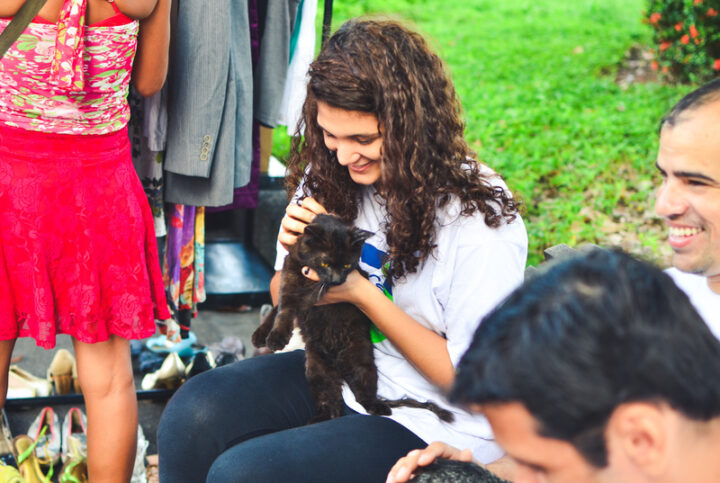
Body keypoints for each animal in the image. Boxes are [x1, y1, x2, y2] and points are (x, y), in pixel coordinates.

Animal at [253, 215, 452, 424]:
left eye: (347, 265)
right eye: (325, 264)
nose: (337, 280)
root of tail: (337, 365)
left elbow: (287, 307)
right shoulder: (290, 280)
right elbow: (280, 310)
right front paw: (267, 336)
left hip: (361, 365)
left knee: (364, 397)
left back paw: (380, 408)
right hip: (316, 370)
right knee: (331, 403)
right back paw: (320, 418)